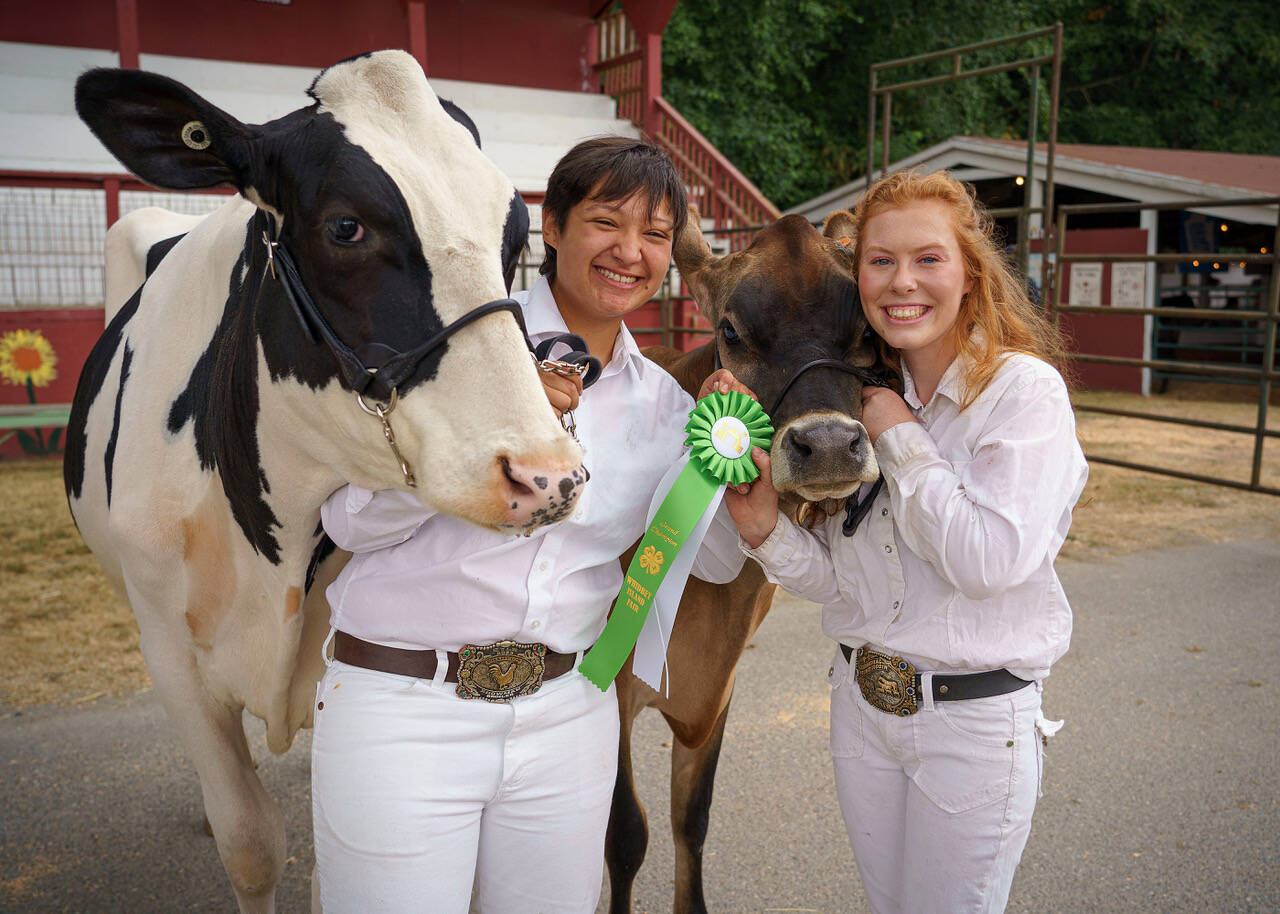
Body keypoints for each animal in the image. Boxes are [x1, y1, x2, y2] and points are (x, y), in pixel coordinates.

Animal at [606, 208, 890, 911]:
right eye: (731, 331)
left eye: (866, 332)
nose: (829, 444)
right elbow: (625, 833)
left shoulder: (722, 682)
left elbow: (692, 817)